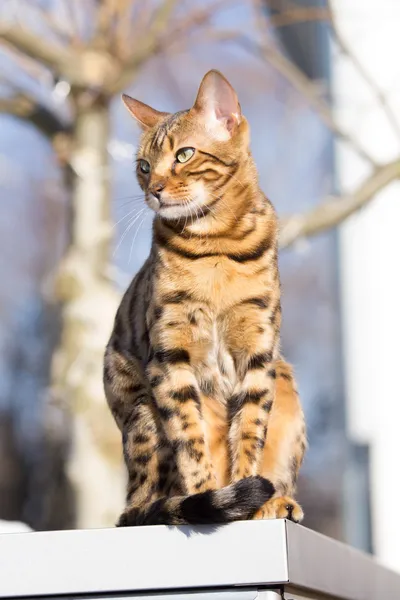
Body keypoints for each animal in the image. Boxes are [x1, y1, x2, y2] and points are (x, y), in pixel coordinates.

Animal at [104, 69, 306, 524]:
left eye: (184, 155)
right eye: (144, 166)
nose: (155, 189)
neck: (217, 244)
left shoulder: (258, 354)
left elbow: (249, 431)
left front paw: (251, 497)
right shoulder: (169, 356)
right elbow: (191, 440)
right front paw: (210, 496)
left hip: (287, 390)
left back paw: (276, 501)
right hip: (144, 415)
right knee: (148, 502)